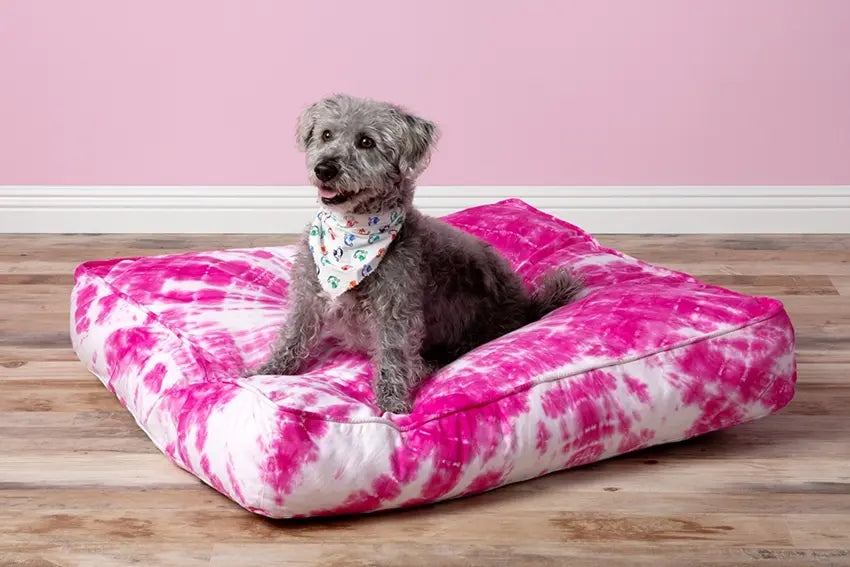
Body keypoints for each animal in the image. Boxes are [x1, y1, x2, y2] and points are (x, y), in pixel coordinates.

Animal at [252, 93, 580, 412]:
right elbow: (293, 333)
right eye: (326, 134)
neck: (351, 239)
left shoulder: (396, 309)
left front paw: (392, 403)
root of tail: (526, 308)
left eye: (366, 141)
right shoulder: (308, 295)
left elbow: (393, 353)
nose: (324, 169)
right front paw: (267, 370)